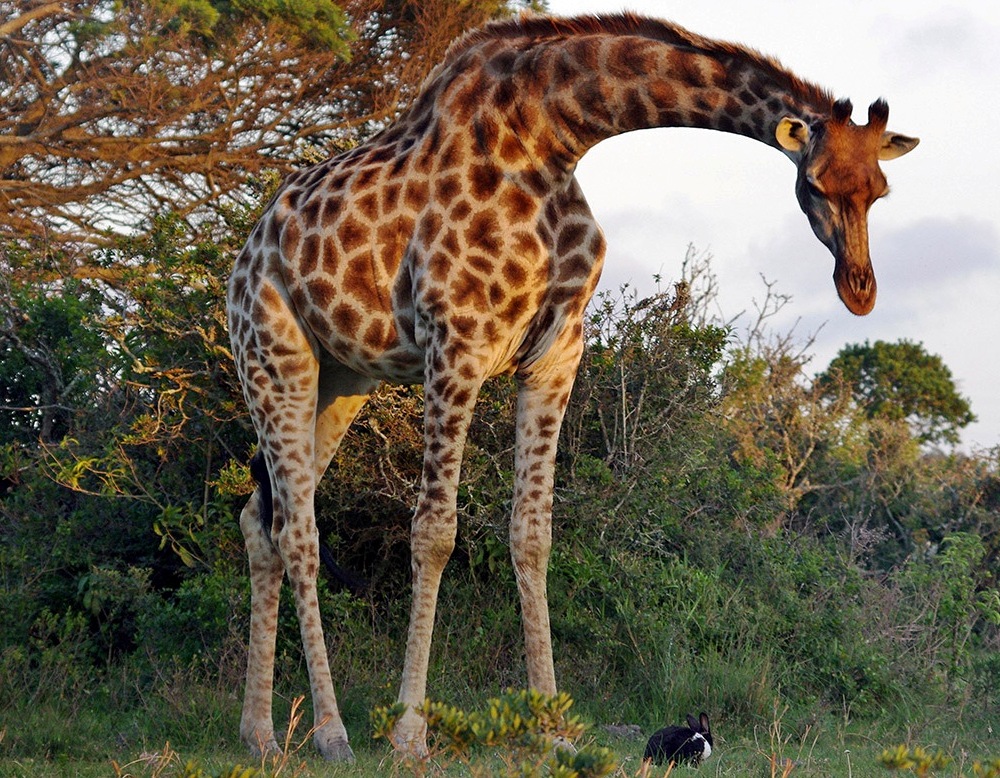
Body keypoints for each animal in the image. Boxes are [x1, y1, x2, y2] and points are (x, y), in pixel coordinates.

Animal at [225, 9, 916, 756]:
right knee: (299, 531)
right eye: (814, 183)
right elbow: (434, 532)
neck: (555, 134)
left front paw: (553, 730)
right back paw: (331, 734)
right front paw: (409, 732)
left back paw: (259, 734)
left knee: (262, 519)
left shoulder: (555, 357)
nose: (860, 291)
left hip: (344, 378)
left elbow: (532, 535)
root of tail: (247, 255)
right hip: (274, 358)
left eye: (880, 190)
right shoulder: (456, 344)